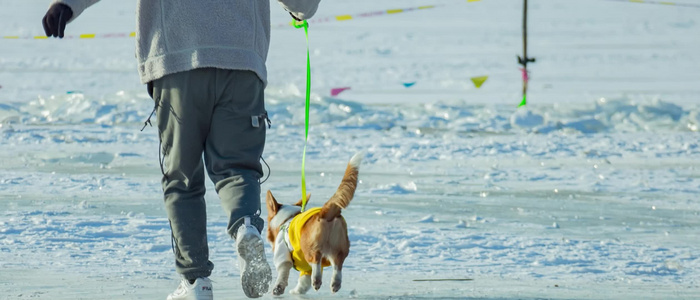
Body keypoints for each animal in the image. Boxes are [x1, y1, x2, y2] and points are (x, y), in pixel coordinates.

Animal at [264, 154, 360, 294]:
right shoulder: (305, 269)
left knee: (316, 260)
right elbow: (304, 282)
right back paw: (335, 284)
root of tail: (326, 212)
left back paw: (317, 280)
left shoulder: (282, 256)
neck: (286, 219)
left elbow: (283, 273)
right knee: (337, 265)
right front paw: (297, 292)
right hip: (339, 248)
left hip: (310, 248)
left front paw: (278, 289)